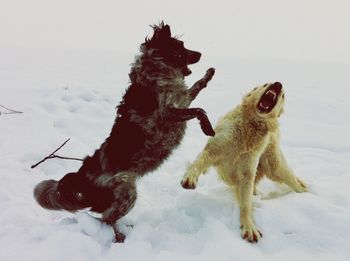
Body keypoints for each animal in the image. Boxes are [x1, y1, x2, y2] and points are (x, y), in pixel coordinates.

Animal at [34, 22, 216, 242]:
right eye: (181, 47)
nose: (200, 53)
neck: (156, 70)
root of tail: (81, 178)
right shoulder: (166, 113)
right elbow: (199, 110)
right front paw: (207, 128)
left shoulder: (182, 99)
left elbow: (196, 87)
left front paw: (209, 74)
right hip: (127, 192)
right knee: (106, 219)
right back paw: (120, 237)